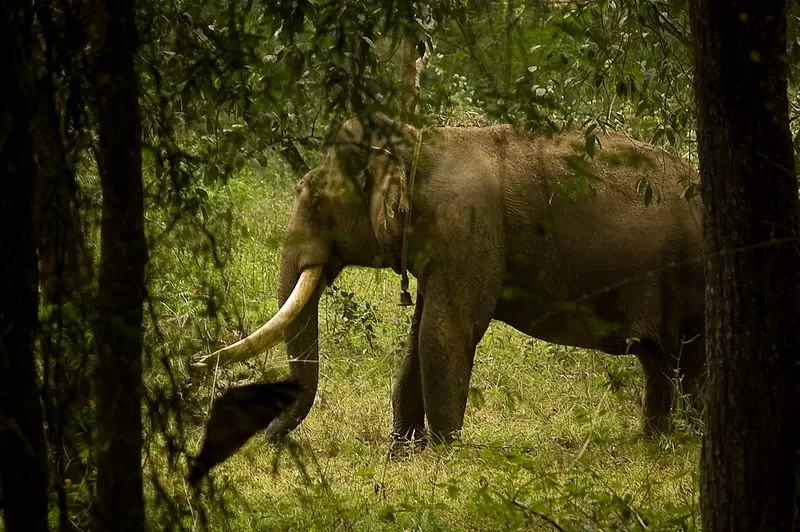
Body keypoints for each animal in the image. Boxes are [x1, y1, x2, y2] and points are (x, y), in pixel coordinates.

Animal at [196, 115, 705, 447]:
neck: (416, 141)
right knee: (658, 360)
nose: (272, 438)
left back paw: (691, 439)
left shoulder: (466, 227)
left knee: (693, 357)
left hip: (692, 273)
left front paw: (442, 450)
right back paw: (655, 442)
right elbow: (418, 335)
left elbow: (445, 330)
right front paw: (403, 449)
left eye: (315, 198)